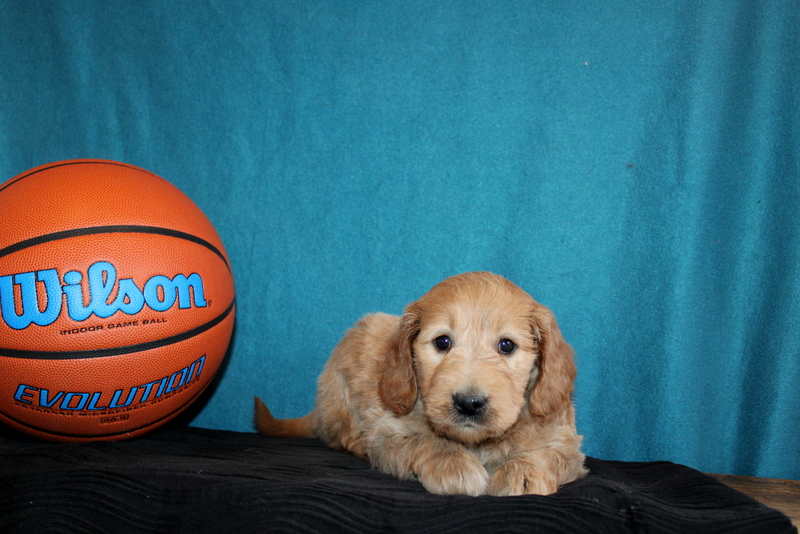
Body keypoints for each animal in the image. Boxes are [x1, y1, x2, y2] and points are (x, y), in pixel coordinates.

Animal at [256, 272, 588, 498]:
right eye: (442, 342)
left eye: (506, 345)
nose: (468, 403)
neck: (477, 443)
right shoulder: (388, 429)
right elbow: (424, 439)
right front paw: (454, 464)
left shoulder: (566, 442)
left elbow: (548, 452)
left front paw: (524, 471)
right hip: (340, 388)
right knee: (341, 433)